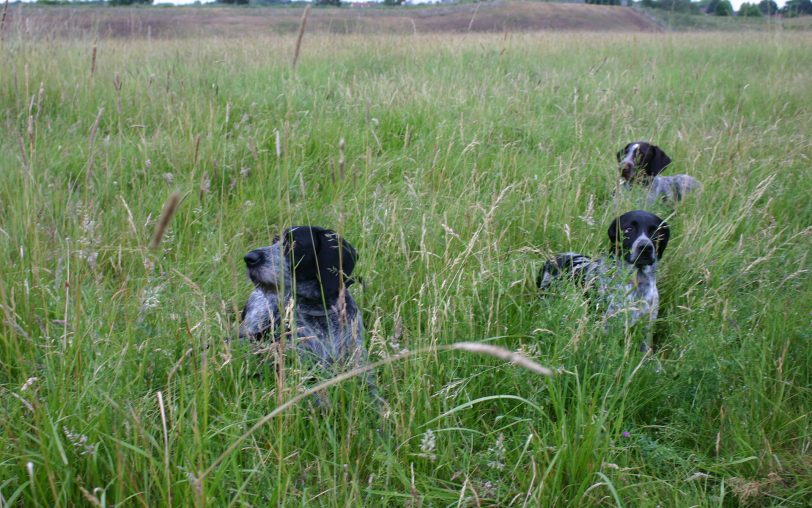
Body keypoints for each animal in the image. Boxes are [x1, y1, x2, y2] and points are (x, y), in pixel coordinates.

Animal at [540, 209, 672, 350]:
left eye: (656, 231)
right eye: (629, 229)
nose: (645, 247)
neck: (636, 283)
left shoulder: (646, 331)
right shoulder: (606, 328)